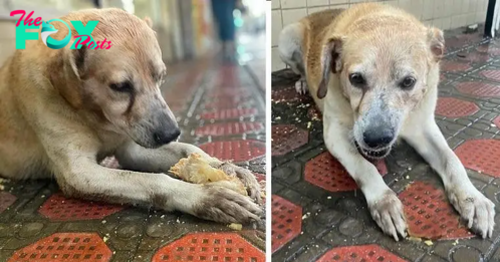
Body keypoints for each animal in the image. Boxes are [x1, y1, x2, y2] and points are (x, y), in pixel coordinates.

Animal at [0, 9, 264, 224]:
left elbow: (189, 149)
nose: (171, 133)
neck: (96, 116)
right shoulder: (78, 172)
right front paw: (203, 197)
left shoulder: (132, 149)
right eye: (120, 86)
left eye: (161, 76)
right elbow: (153, 180)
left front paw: (225, 168)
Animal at [280, 3, 494, 242]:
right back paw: (303, 83)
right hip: (286, 39)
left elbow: (452, 160)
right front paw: (384, 202)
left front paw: (472, 198)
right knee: (298, 70)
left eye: (408, 82)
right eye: (356, 78)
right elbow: (365, 167)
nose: (376, 138)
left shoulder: (424, 127)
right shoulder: (334, 135)